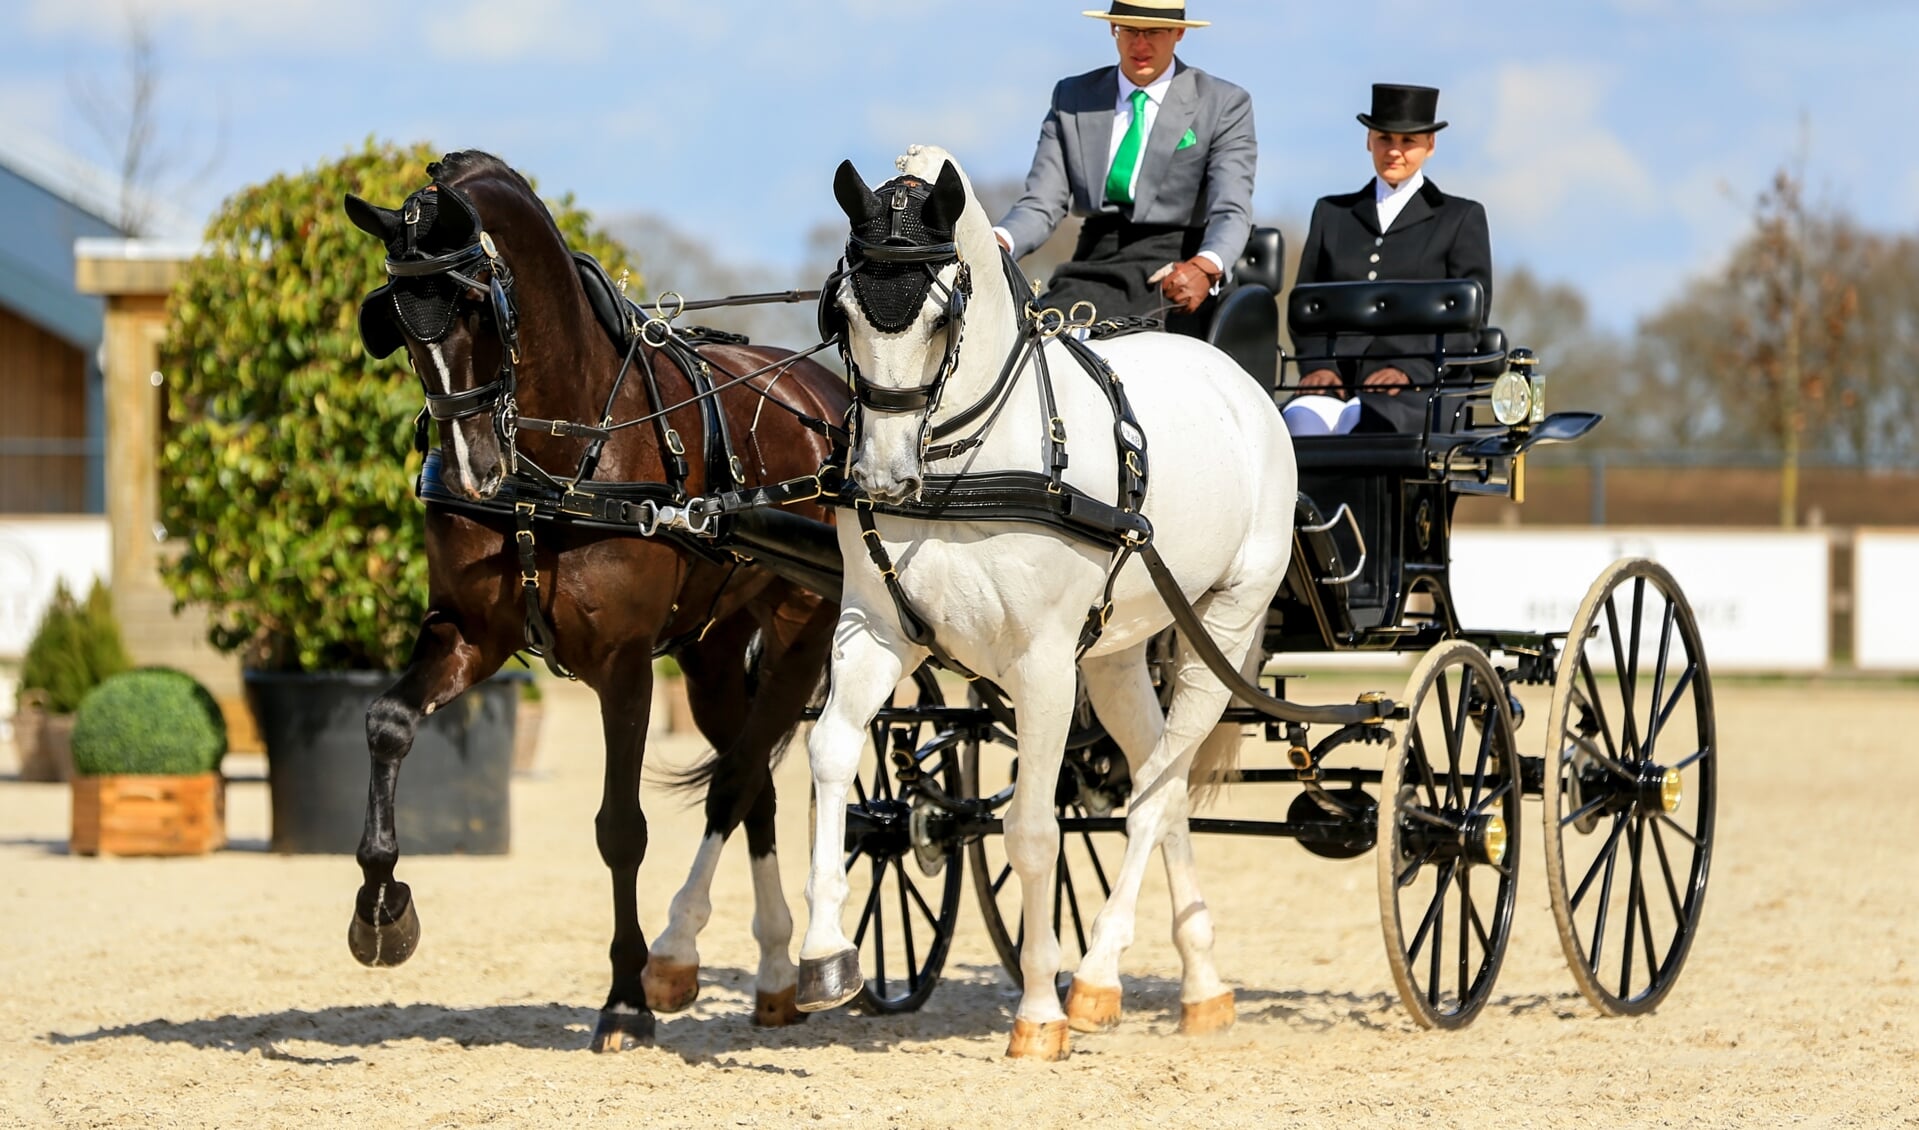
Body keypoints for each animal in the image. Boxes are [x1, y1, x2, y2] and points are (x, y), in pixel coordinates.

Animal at [343, 149, 848, 1051]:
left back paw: (690, 960)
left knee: (738, 777)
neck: (559, 464)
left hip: (801, 631)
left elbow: (621, 829)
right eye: (396, 321)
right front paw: (381, 912)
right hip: (712, 654)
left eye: (478, 307)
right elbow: (388, 723)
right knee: (753, 782)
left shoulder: (624, 665)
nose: (473, 470)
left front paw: (624, 999)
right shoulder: (470, 634)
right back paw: (774, 976)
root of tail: (818, 389)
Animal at [786, 142, 1297, 1059]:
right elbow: (832, 757)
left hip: (1225, 623)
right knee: (1158, 779)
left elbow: (1031, 831)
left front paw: (1038, 1011)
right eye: (839, 313)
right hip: (1119, 653)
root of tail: (1239, 384)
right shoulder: (873, 631)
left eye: (940, 317)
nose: (882, 478)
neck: (965, 462)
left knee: (1156, 790)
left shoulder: (1043, 666)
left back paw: (1093, 978)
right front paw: (823, 958)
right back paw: (1200, 985)